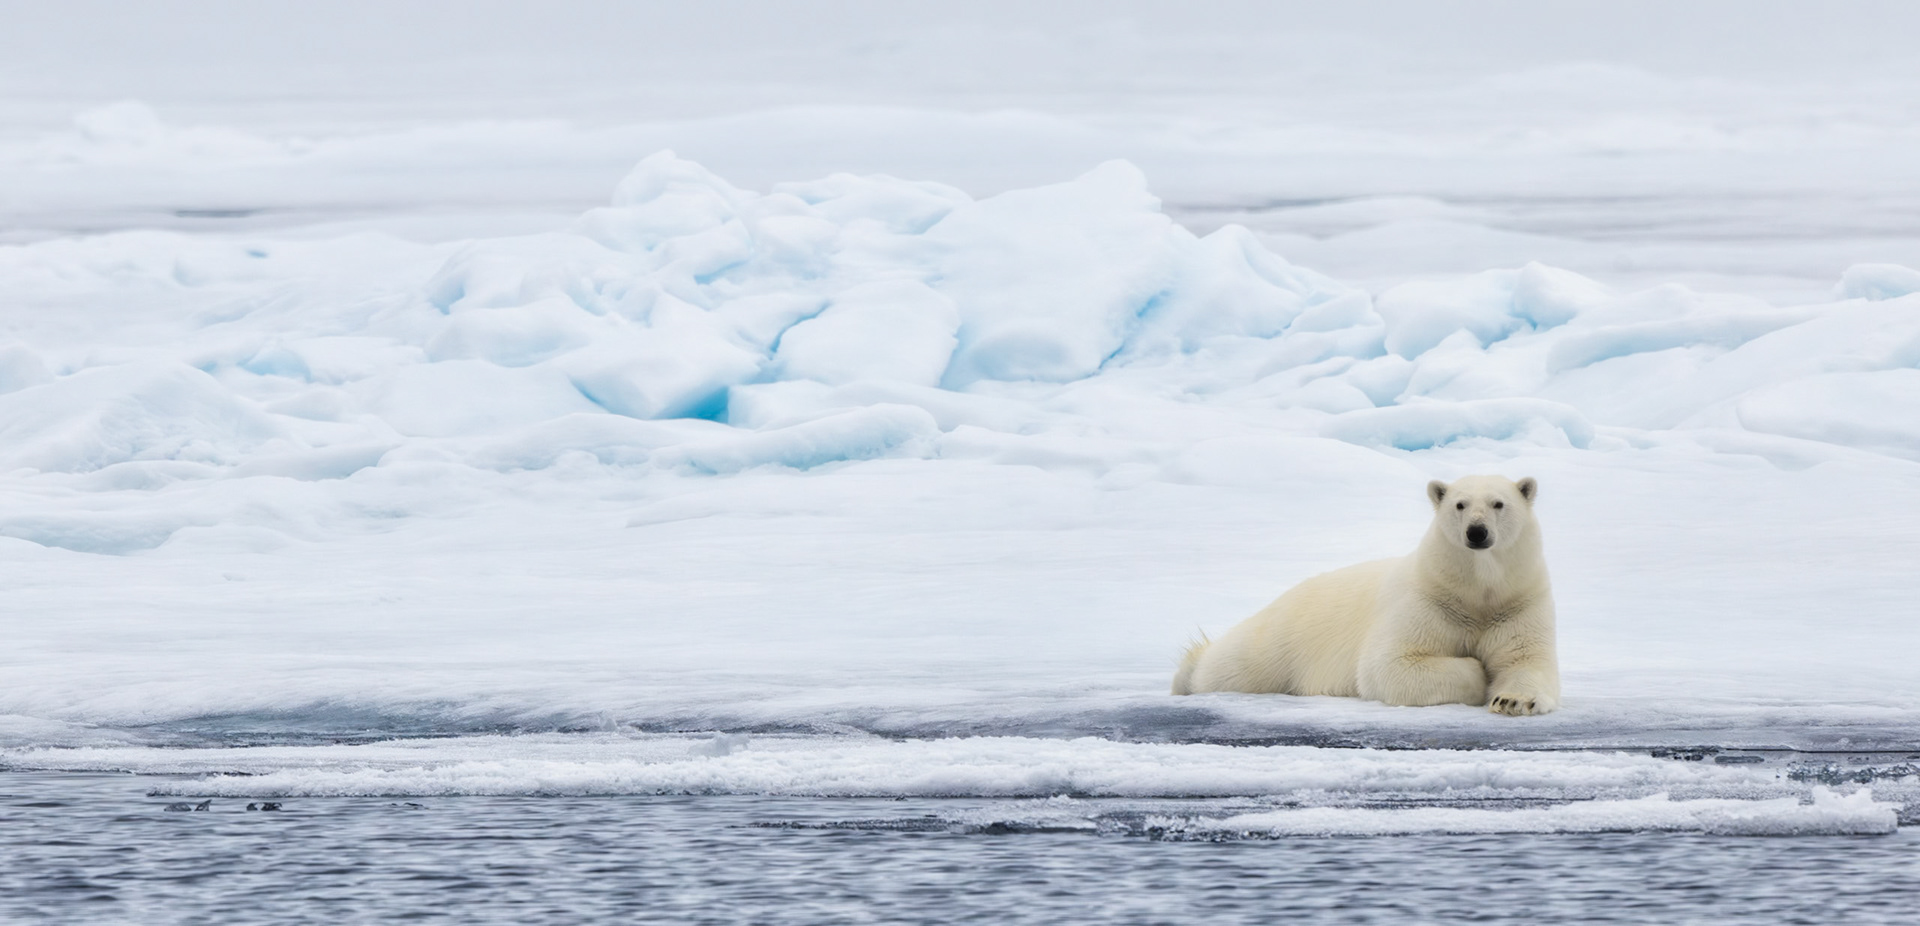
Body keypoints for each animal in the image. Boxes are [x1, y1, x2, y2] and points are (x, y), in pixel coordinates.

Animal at [1171, 475, 1559, 716]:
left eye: (1498, 504)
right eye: (1460, 505)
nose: (1477, 532)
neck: (1477, 592)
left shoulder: (1518, 603)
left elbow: (1527, 661)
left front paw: (1511, 700)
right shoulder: (1429, 602)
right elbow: (1389, 665)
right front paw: (1479, 671)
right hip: (1285, 637)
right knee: (1234, 666)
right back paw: (1188, 673)